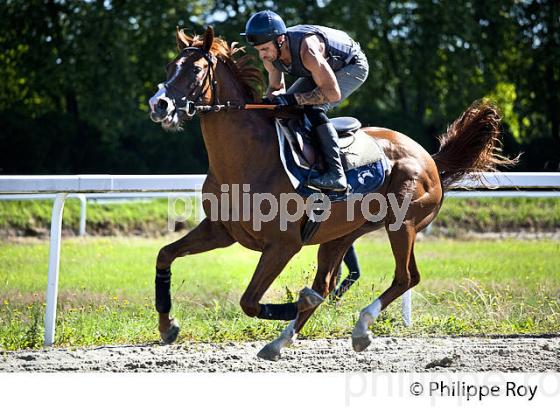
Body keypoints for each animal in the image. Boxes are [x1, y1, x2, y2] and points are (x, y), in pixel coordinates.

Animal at [149, 25, 516, 360]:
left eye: (196, 70)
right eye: (168, 67)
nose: (159, 104)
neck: (246, 158)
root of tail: (429, 158)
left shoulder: (283, 245)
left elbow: (250, 301)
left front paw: (297, 302)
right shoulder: (221, 231)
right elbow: (164, 255)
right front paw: (168, 326)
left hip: (403, 225)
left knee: (405, 277)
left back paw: (360, 329)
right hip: (340, 235)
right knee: (328, 283)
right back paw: (280, 342)